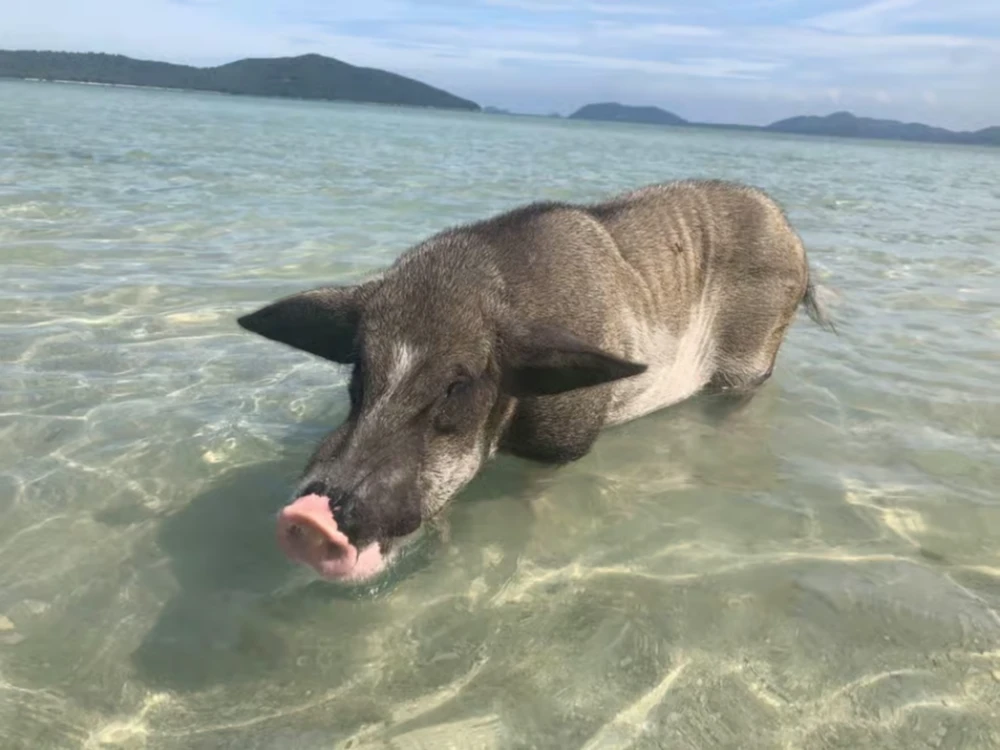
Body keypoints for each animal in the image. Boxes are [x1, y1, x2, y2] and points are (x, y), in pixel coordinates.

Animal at [237, 178, 835, 584]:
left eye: (458, 385)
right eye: (360, 369)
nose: (311, 514)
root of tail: (797, 241)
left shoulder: (566, 437)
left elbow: (537, 492)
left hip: (751, 356)